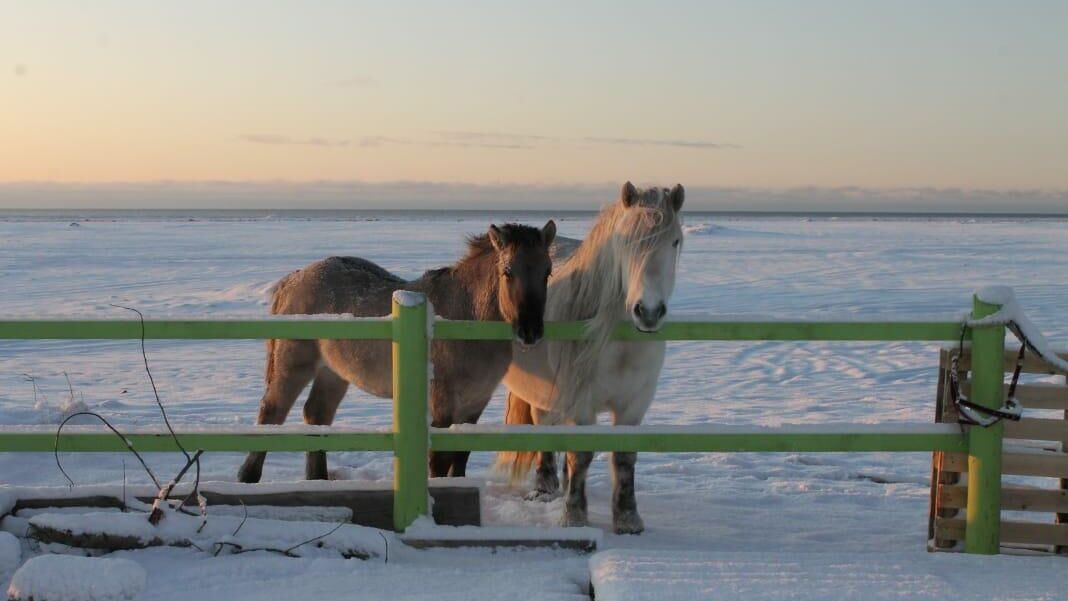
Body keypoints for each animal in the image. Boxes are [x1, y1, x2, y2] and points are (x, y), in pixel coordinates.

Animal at [240, 222, 559, 484]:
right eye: (508, 271)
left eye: (547, 271)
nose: (530, 331)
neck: (464, 316)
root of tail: (292, 279)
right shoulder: (442, 406)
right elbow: (439, 462)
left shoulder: (474, 406)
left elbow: (460, 458)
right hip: (293, 365)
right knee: (272, 413)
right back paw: (248, 477)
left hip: (334, 373)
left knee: (316, 413)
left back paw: (318, 479)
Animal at [499, 181, 683, 533]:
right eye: (625, 241)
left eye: (676, 241)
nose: (649, 312)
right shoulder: (581, 401)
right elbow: (581, 454)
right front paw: (574, 515)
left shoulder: (634, 405)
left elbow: (624, 458)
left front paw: (628, 519)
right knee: (545, 429)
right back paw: (545, 489)